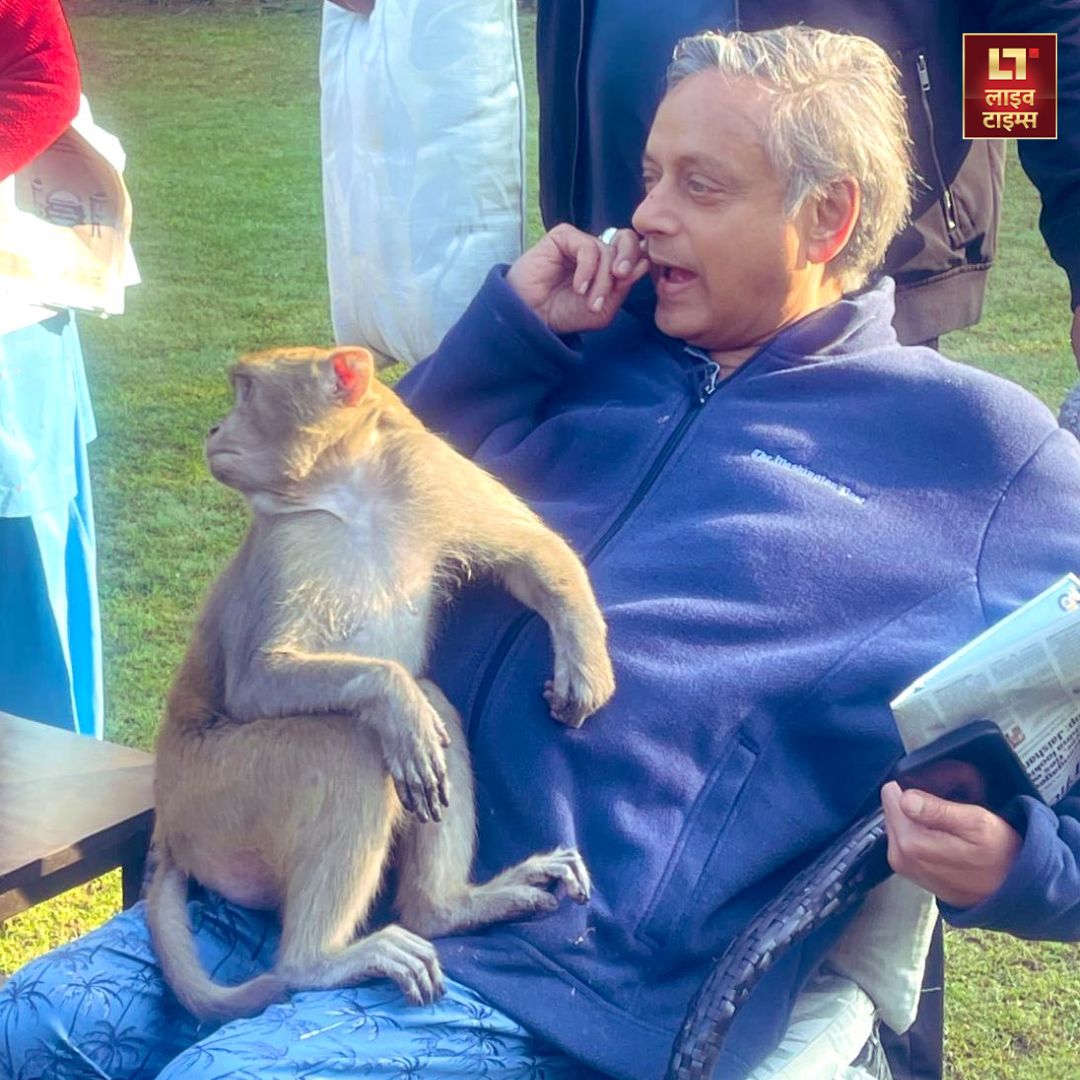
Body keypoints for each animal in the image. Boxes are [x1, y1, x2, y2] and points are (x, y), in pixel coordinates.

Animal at [146, 346, 616, 1024]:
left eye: (244, 391)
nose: (212, 431)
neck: (349, 489)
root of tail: (169, 828)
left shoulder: (429, 474)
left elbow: (528, 553)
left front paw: (583, 662)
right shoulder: (284, 546)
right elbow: (257, 684)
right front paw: (394, 698)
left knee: (429, 710)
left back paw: (445, 908)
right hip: (217, 796)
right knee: (351, 746)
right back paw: (316, 963)